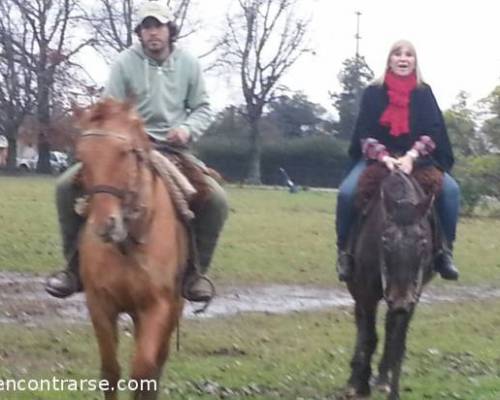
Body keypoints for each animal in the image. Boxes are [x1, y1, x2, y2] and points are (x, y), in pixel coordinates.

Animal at [74, 98, 189, 398]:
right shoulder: (100, 304)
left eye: (124, 152)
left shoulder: (157, 307)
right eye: (81, 156)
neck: (127, 244)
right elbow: (110, 371)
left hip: (172, 310)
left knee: (157, 365)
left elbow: (143, 371)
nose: (105, 224)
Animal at [344, 165, 438, 400]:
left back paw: (382, 379)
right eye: (385, 240)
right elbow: (369, 336)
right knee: (361, 323)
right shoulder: (367, 292)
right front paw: (360, 384)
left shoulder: (413, 294)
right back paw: (355, 376)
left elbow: (398, 341)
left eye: (423, 241)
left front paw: (391, 388)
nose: (399, 300)